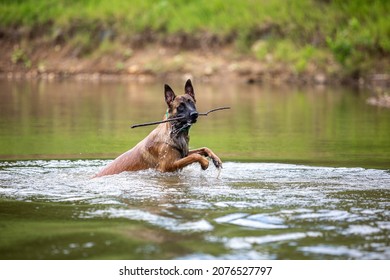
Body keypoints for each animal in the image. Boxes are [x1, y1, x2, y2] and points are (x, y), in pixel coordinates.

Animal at [93, 79, 222, 177]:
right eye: (180, 106)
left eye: (192, 102)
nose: (195, 114)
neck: (174, 132)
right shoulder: (166, 166)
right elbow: (196, 156)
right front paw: (205, 163)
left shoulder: (183, 155)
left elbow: (204, 149)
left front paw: (216, 159)